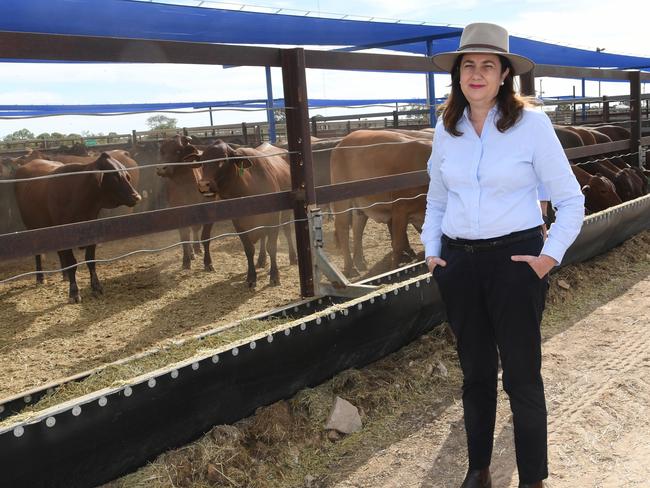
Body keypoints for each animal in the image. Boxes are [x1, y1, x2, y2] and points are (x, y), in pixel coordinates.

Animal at [14, 154, 140, 304]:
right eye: (115, 177)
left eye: (127, 176)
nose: (137, 196)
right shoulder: (65, 233)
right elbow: (72, 263)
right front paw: (74, 292)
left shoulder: (91, 232)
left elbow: (90, 260)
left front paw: (96, 286)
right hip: (32, 228)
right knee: (38, 253)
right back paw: (40, 277)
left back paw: (65, 275)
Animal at [195, 139, 296, 288]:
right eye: (202, 161)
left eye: (223, 160)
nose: (203, 185)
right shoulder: (238, 222)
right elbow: (249, 249)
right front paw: (251, 277)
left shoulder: (273, 217)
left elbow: (272, 247)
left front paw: (274, 276)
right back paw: (261, 260)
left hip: (286, 211)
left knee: (287, 230)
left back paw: (293, 257)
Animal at [330, 130, 430, 276]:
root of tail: (341, 144)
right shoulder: (400, 209)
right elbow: (398, 244)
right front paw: (394, 269)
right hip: (342, 200)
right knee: (342, 227)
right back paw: (350, 268)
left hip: (360, 205)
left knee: (357, 228)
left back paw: (360, 262)